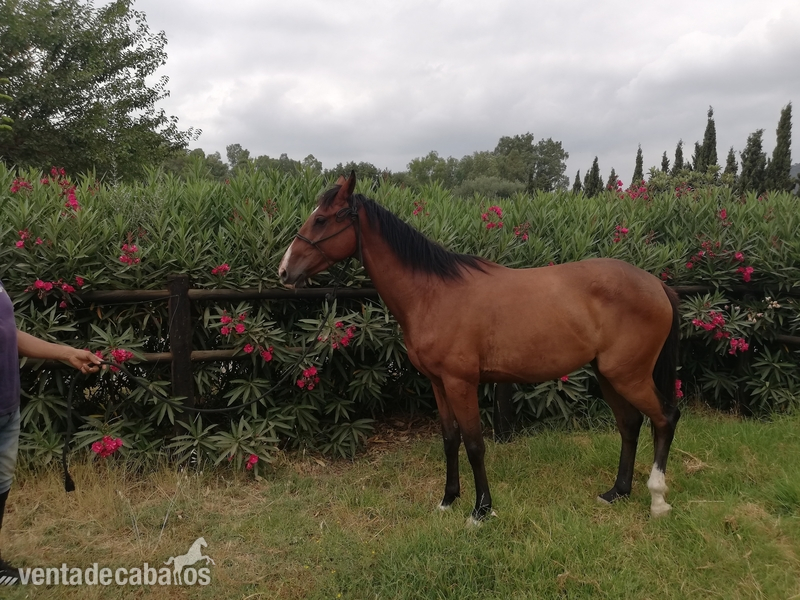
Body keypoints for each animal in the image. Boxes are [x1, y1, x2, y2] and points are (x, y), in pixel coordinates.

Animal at [279, 171, 681, 523]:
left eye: (322, 220)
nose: (284, 271)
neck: (433, 294)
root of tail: (656, 285)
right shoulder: (439, 384)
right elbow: (449, 439)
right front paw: (448, 500)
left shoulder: (461, 383)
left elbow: (474, 444)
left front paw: (481, 510)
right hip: (608, 374)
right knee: (630, 424)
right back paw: (617, 492)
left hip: (628, 375)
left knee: (665, 418)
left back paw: (658, 500)